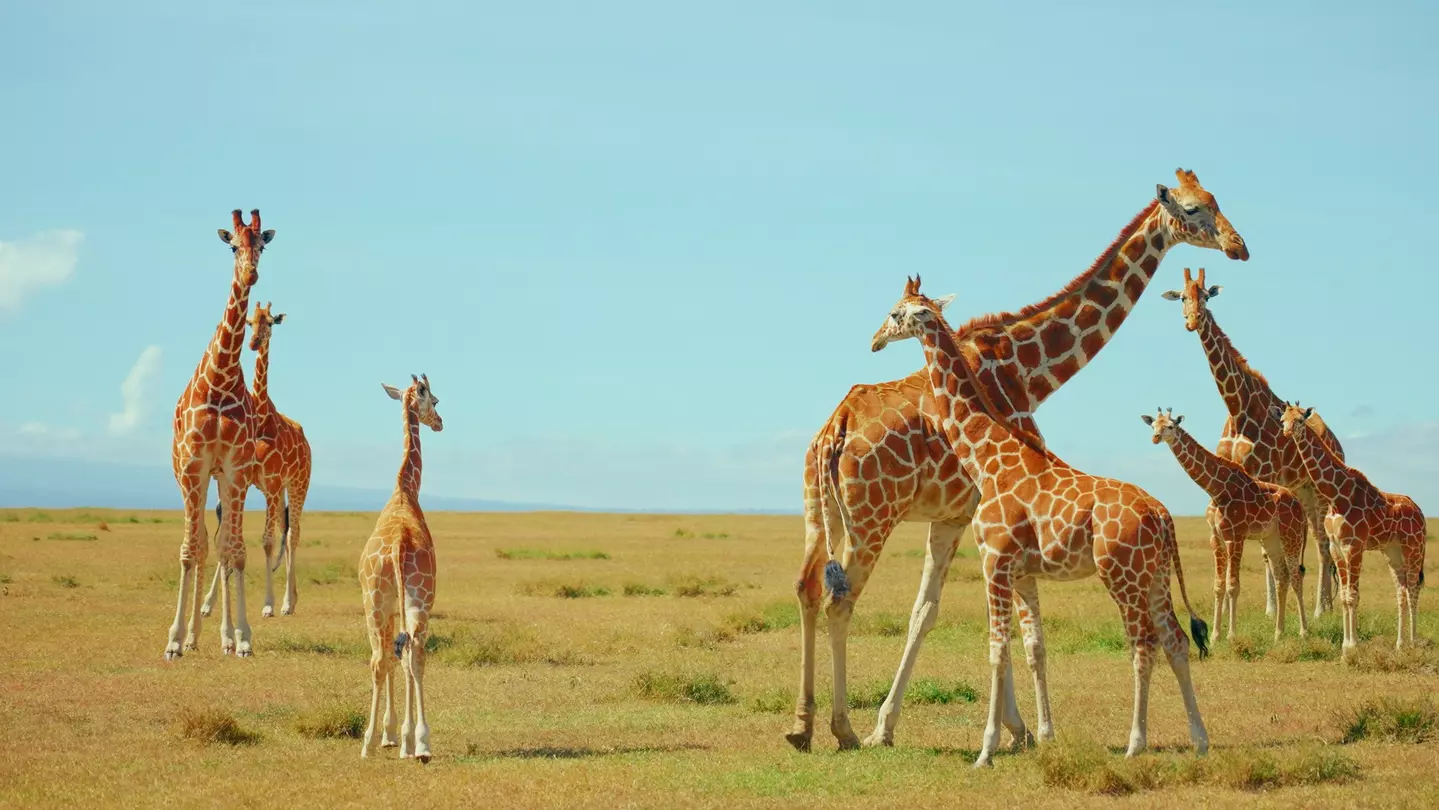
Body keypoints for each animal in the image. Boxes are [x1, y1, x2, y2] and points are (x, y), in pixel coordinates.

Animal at [200, 302, 313, 620]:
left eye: (270, 323)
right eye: (250, 323)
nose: (253, 343)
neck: (263, 420)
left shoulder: (272, 483)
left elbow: (266, 540)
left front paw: (268, 605)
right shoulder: (247, 481)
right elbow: (225, 536)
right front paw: (208, 603)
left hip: (298, 484)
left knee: (293, 533)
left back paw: (288, 602)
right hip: (278, 489)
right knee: (285, 529)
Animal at [862, 276, 1209, 766]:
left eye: (895, 313)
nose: (874, 340)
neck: (987, 458)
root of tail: (1162, 516)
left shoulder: (995, 562)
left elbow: (996, 651)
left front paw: (986, 750)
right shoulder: (1022, 571)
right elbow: (1029, 648)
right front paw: (1038, 736)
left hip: (1122, 573)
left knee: (1143, 644)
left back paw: (1135, 743)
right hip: (1155, 575)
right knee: (1176, 640)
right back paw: (1200, 739)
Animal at [1143, 407, 1308, 641]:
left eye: (1171, 426)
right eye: (1153, 425)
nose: (1156, 437)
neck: (1216, 488)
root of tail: (1299, 506)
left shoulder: (1235, 536)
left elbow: (1232, 586)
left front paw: (1231, 635)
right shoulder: (1216, 537)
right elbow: (1218, 586)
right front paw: (1214, 636)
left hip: (1291, 535)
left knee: (1295, 576)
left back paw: (1304, 631)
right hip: (1271, 539)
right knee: (1281, 577)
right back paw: (1278, 633)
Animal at [1161, 267, 1345, 620]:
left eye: (1206, 297)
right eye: (1182, 297)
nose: (1192, 321)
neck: (1238, 408)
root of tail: (1335, 440)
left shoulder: (1264, 477)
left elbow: (1264, 549)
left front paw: (1272, 610)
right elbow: (1259, 548)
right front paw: (1266, 610)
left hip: (1317, 491)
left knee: (1323, 545)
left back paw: (1321, 610)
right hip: (1302, 489)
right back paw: (1325, 606)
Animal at [1277, 402, 1426, 657]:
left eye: (1300, 420)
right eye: (1283, 420)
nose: (1287, 433)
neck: (1335, 495)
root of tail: (1421, 513)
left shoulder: (1354, 546)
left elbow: (1354, 596)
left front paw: (1353, 645)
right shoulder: (1337, 548)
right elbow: (1345, 597)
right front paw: (1346, 645)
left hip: (1413, 548)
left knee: (1413, 590)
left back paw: (1414, 642)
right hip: (1393, 552)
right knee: (1402, 592)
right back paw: (1400, 644)